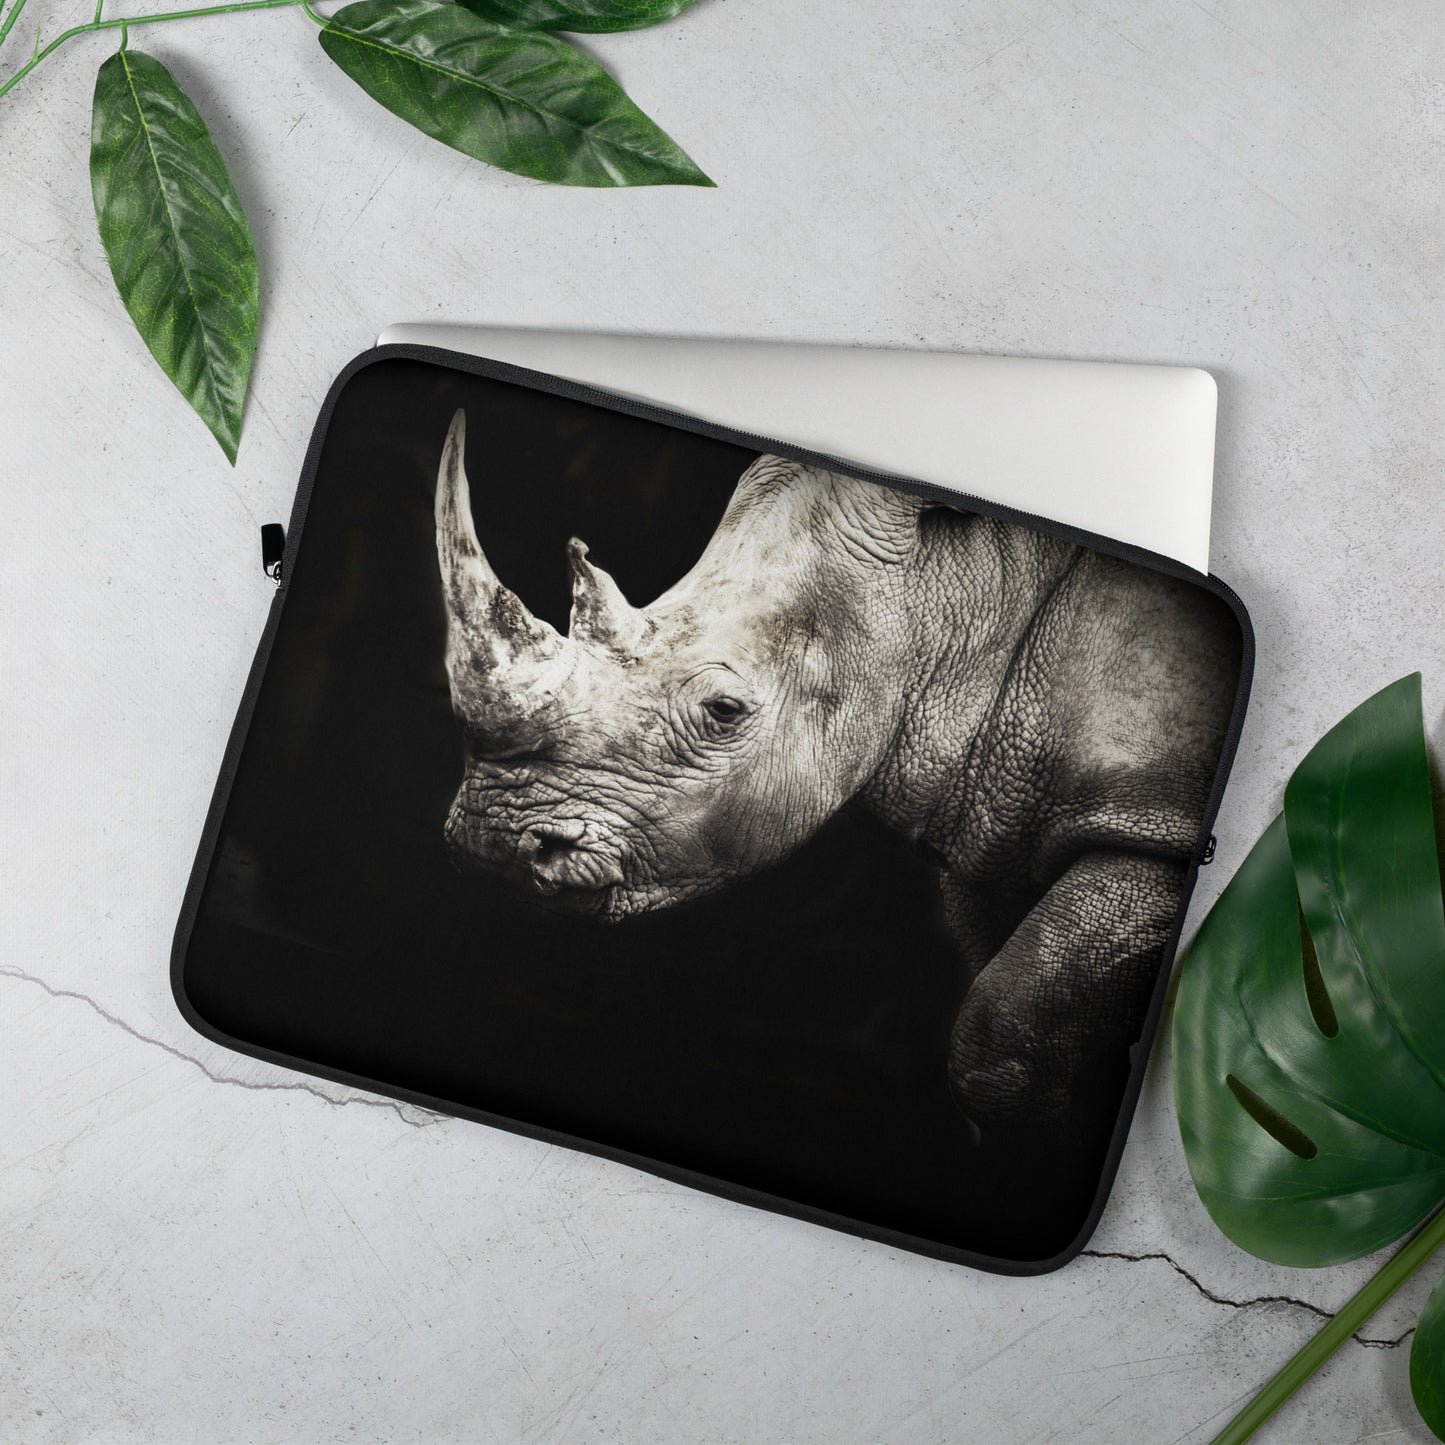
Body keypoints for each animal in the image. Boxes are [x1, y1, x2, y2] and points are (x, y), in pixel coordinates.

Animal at [434, 409, 1239, 1136]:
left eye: (724, 710)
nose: (492, 844)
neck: (976, 589)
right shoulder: (994, 830)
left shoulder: (1147, 826)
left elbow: (1000, 1042)